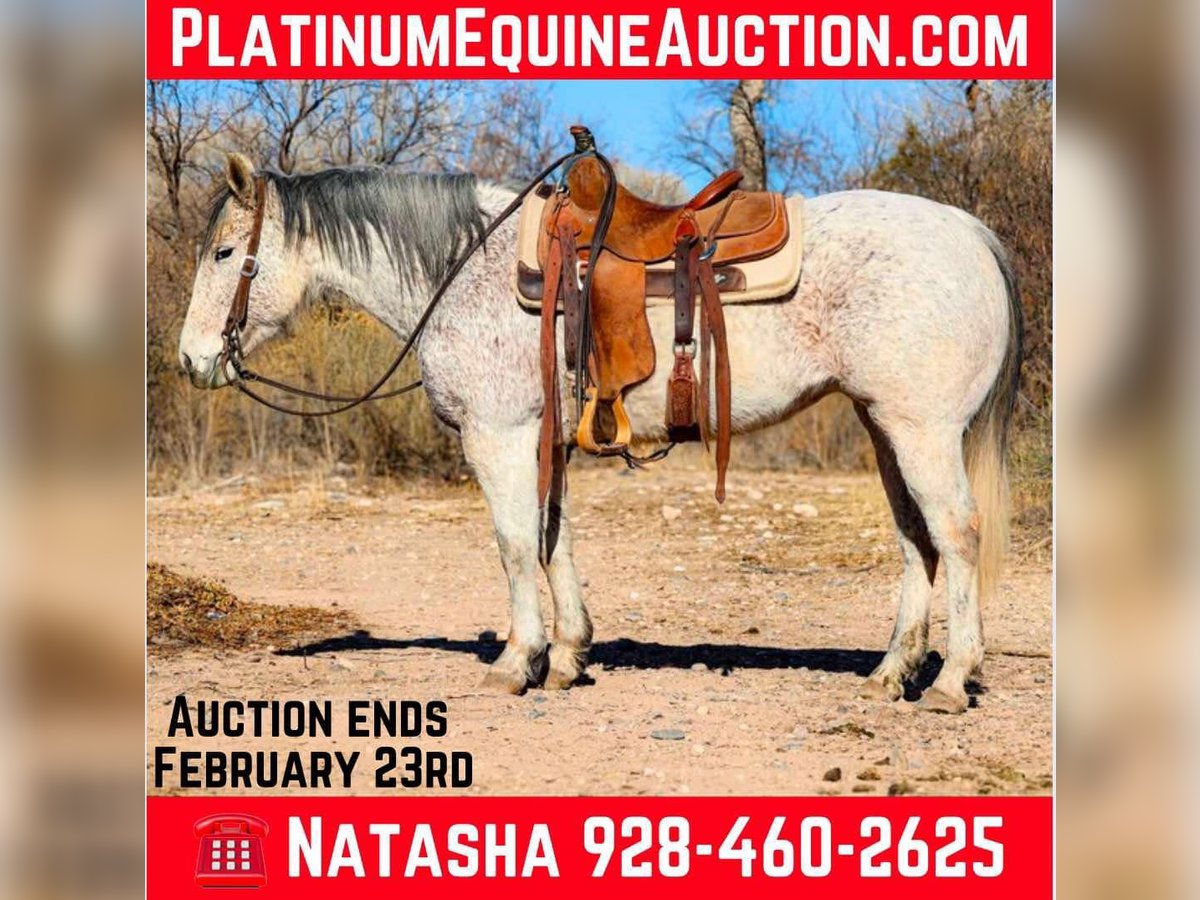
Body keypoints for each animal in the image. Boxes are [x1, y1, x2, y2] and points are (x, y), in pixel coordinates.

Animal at [179, 152, 1022, 714]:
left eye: (224, 253)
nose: (191, 360)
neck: (467, 269)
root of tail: (971, 232)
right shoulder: (544, 441)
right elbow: (555, 542)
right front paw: (568, 655)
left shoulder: (498, 436)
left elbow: (515, 545)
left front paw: (517, 661)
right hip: (884, 426)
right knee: (917, 542)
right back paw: (892, 672)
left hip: (921, 432)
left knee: (957, 533)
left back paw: (951, 681)